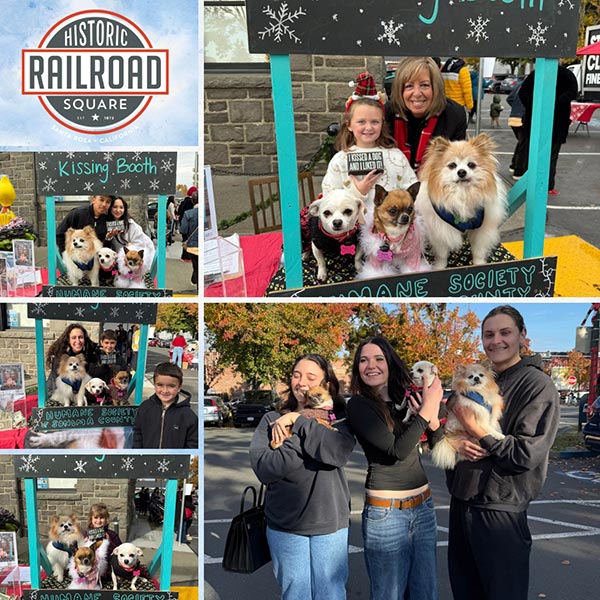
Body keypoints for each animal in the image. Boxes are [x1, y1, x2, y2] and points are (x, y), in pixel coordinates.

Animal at [414, 136, 508, 270]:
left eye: (471, 165)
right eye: (452, 165)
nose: (462, 172)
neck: (463, 194)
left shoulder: (482, 230)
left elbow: (478, 251)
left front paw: (479, 263)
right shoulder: (441, 230)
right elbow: (442, 253)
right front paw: (439, 267)